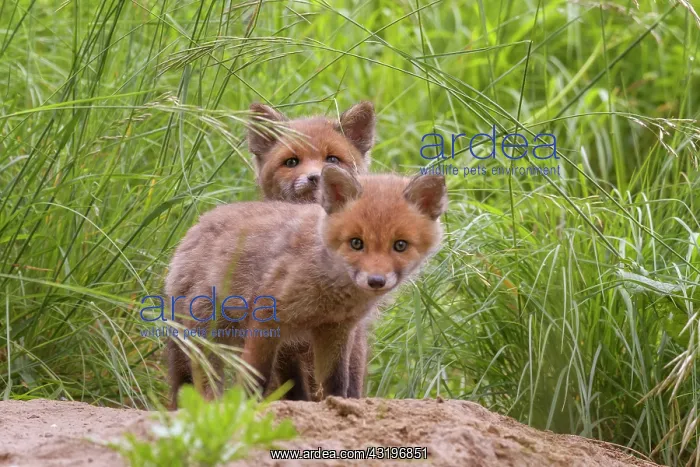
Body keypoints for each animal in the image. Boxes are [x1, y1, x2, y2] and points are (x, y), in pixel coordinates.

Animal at [165, 165, 447, 404]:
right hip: (207, 337)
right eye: (356, 243)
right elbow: (255, 377)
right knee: (202, 383)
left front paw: (339, 406)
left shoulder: (335, 329)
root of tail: (197, 225)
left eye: (400, 245)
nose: (376, 281)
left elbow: (336, 381)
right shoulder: (267, 318)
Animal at [245, 101, 376, 401]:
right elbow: (293, 387)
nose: (316, 177)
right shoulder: (284, 337)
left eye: (332, 159)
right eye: (292, 162)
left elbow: (350, 378)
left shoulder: (349, 329)